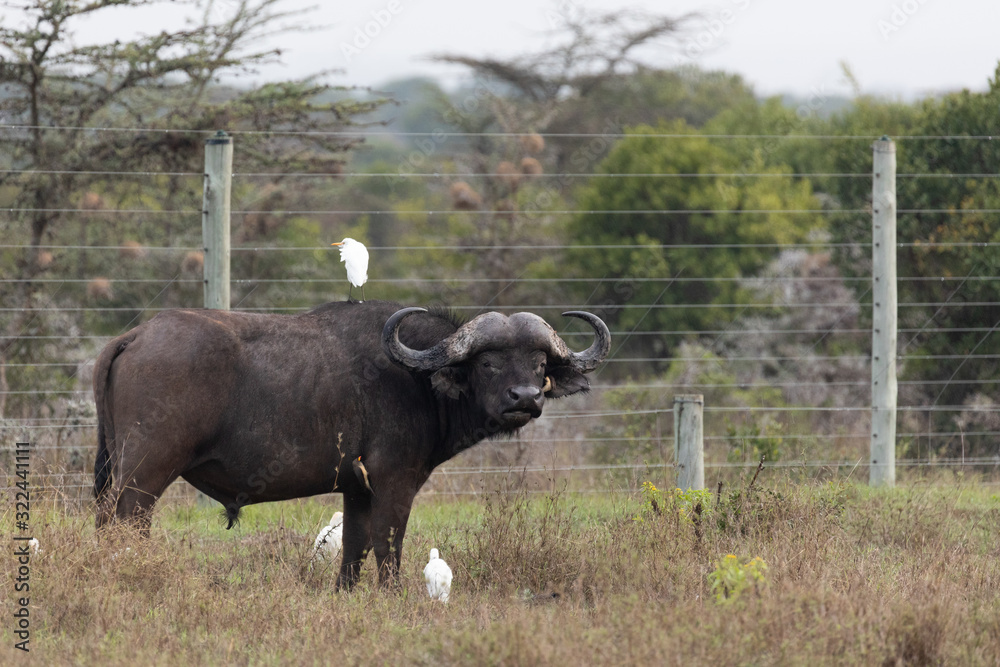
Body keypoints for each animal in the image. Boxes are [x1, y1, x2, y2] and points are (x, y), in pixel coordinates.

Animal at [94, 300, 608, 588]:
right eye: (488, 362)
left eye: (538, 360)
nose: (525, 398)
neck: (416, 379)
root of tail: (136, 334)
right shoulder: (394, 483)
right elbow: (389, 547)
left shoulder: (356, 491)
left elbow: (354, 551)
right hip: (144, 474)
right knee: (127, 527)